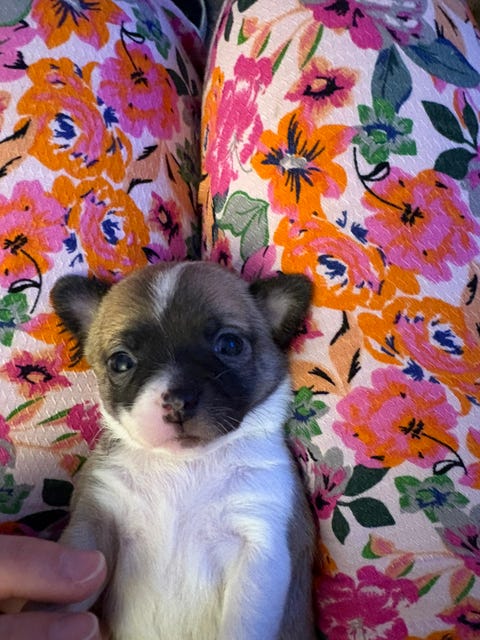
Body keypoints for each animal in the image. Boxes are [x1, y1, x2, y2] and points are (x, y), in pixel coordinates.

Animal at [51, 261, 316, 640]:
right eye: (120, 362)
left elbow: (243, 625)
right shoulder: (93, 529)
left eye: (230, 345)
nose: (178, 400)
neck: (184, 464)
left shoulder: (259, 549)